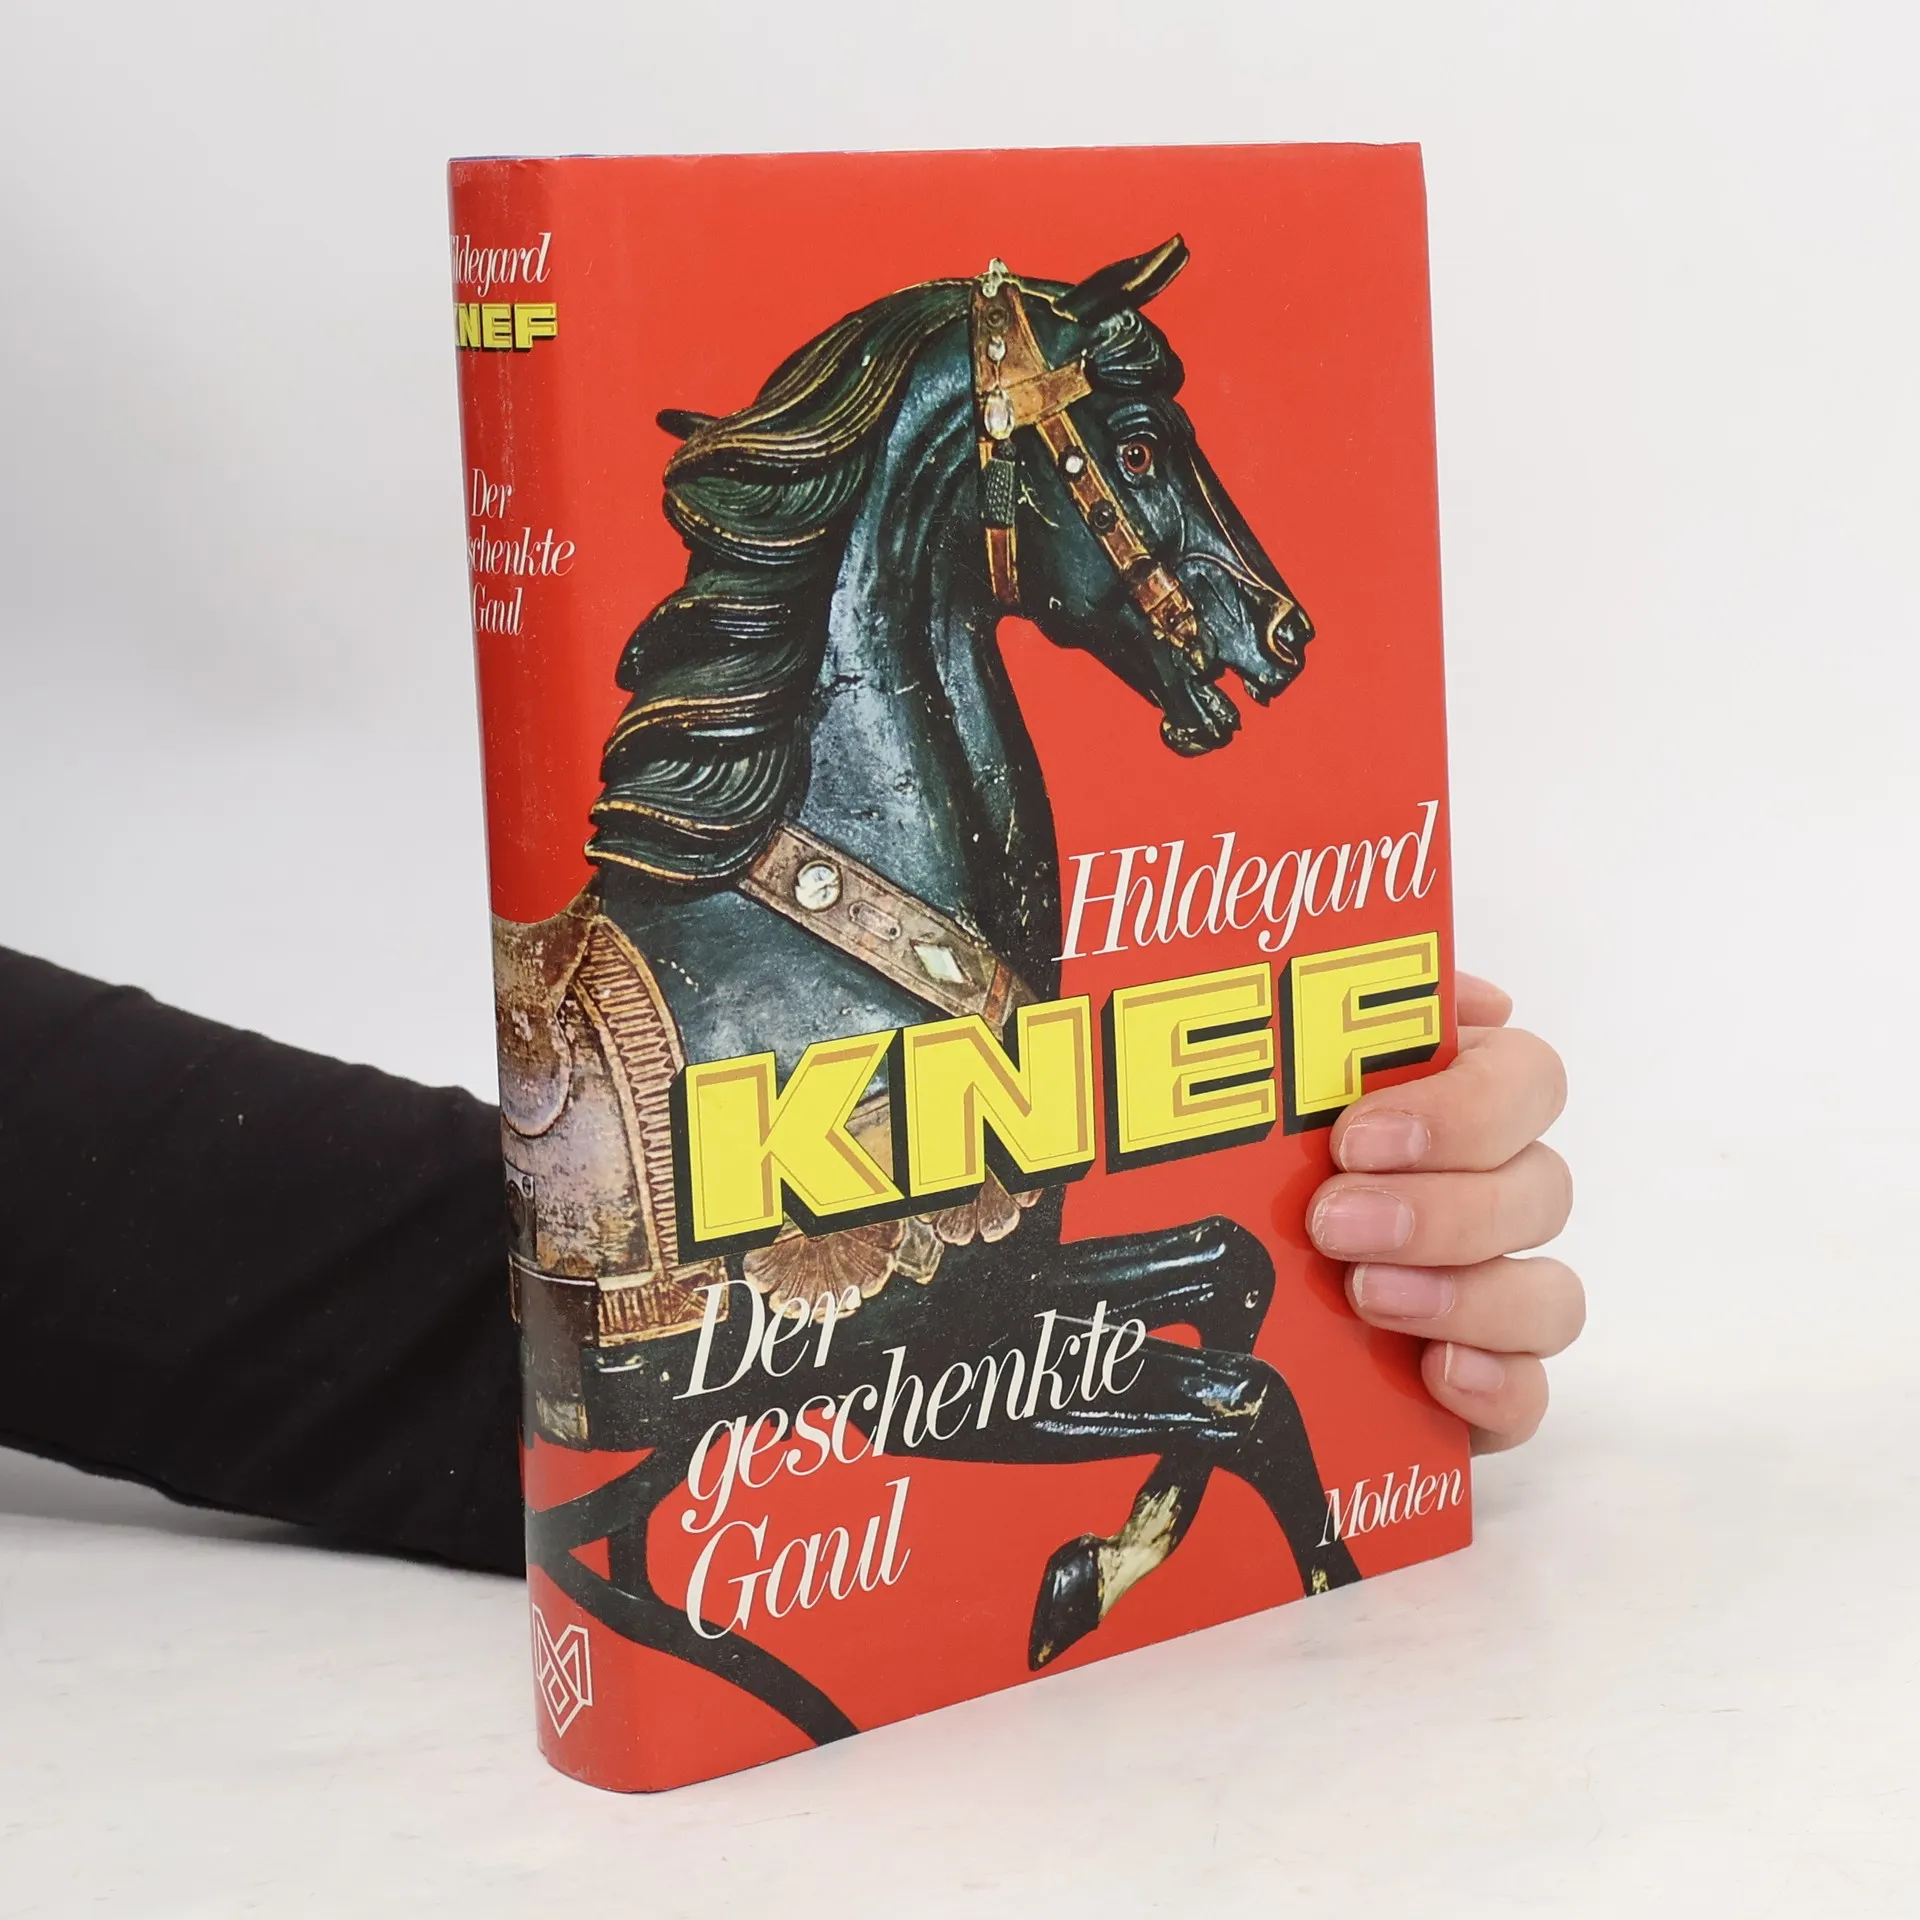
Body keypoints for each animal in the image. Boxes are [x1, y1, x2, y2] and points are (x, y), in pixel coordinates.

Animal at [510, 238, 1359, 1748]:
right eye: (1138, 443)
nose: (1285, 632)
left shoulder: (998, 1287)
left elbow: (1238, 1270)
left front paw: (1083, 1576)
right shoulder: (911, 1379)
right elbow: (1245, 1397)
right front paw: (1106, 1580)